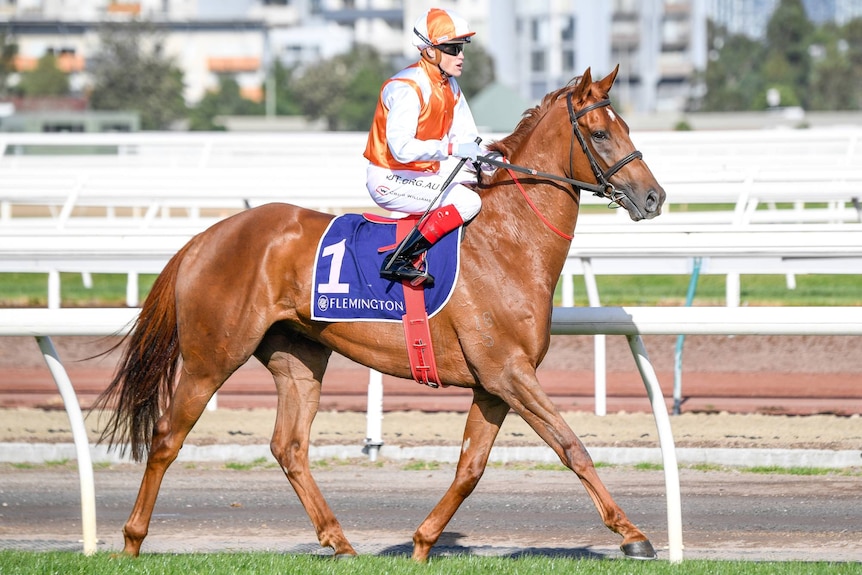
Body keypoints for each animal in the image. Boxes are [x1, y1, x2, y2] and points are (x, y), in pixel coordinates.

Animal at [99, 65, 668, 560]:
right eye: (599, 133)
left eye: (626, 127)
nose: (654, 197)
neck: (509, 243)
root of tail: (204, 238)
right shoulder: (509, 373)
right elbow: (572, 446)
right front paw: (633, 536)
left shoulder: (495, 383)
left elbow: (470, 467)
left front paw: (422, 542)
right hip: (211, 358)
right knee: (167, 437)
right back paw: (132, 540)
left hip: (298, 359)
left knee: (290, 447)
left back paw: (340, 542)